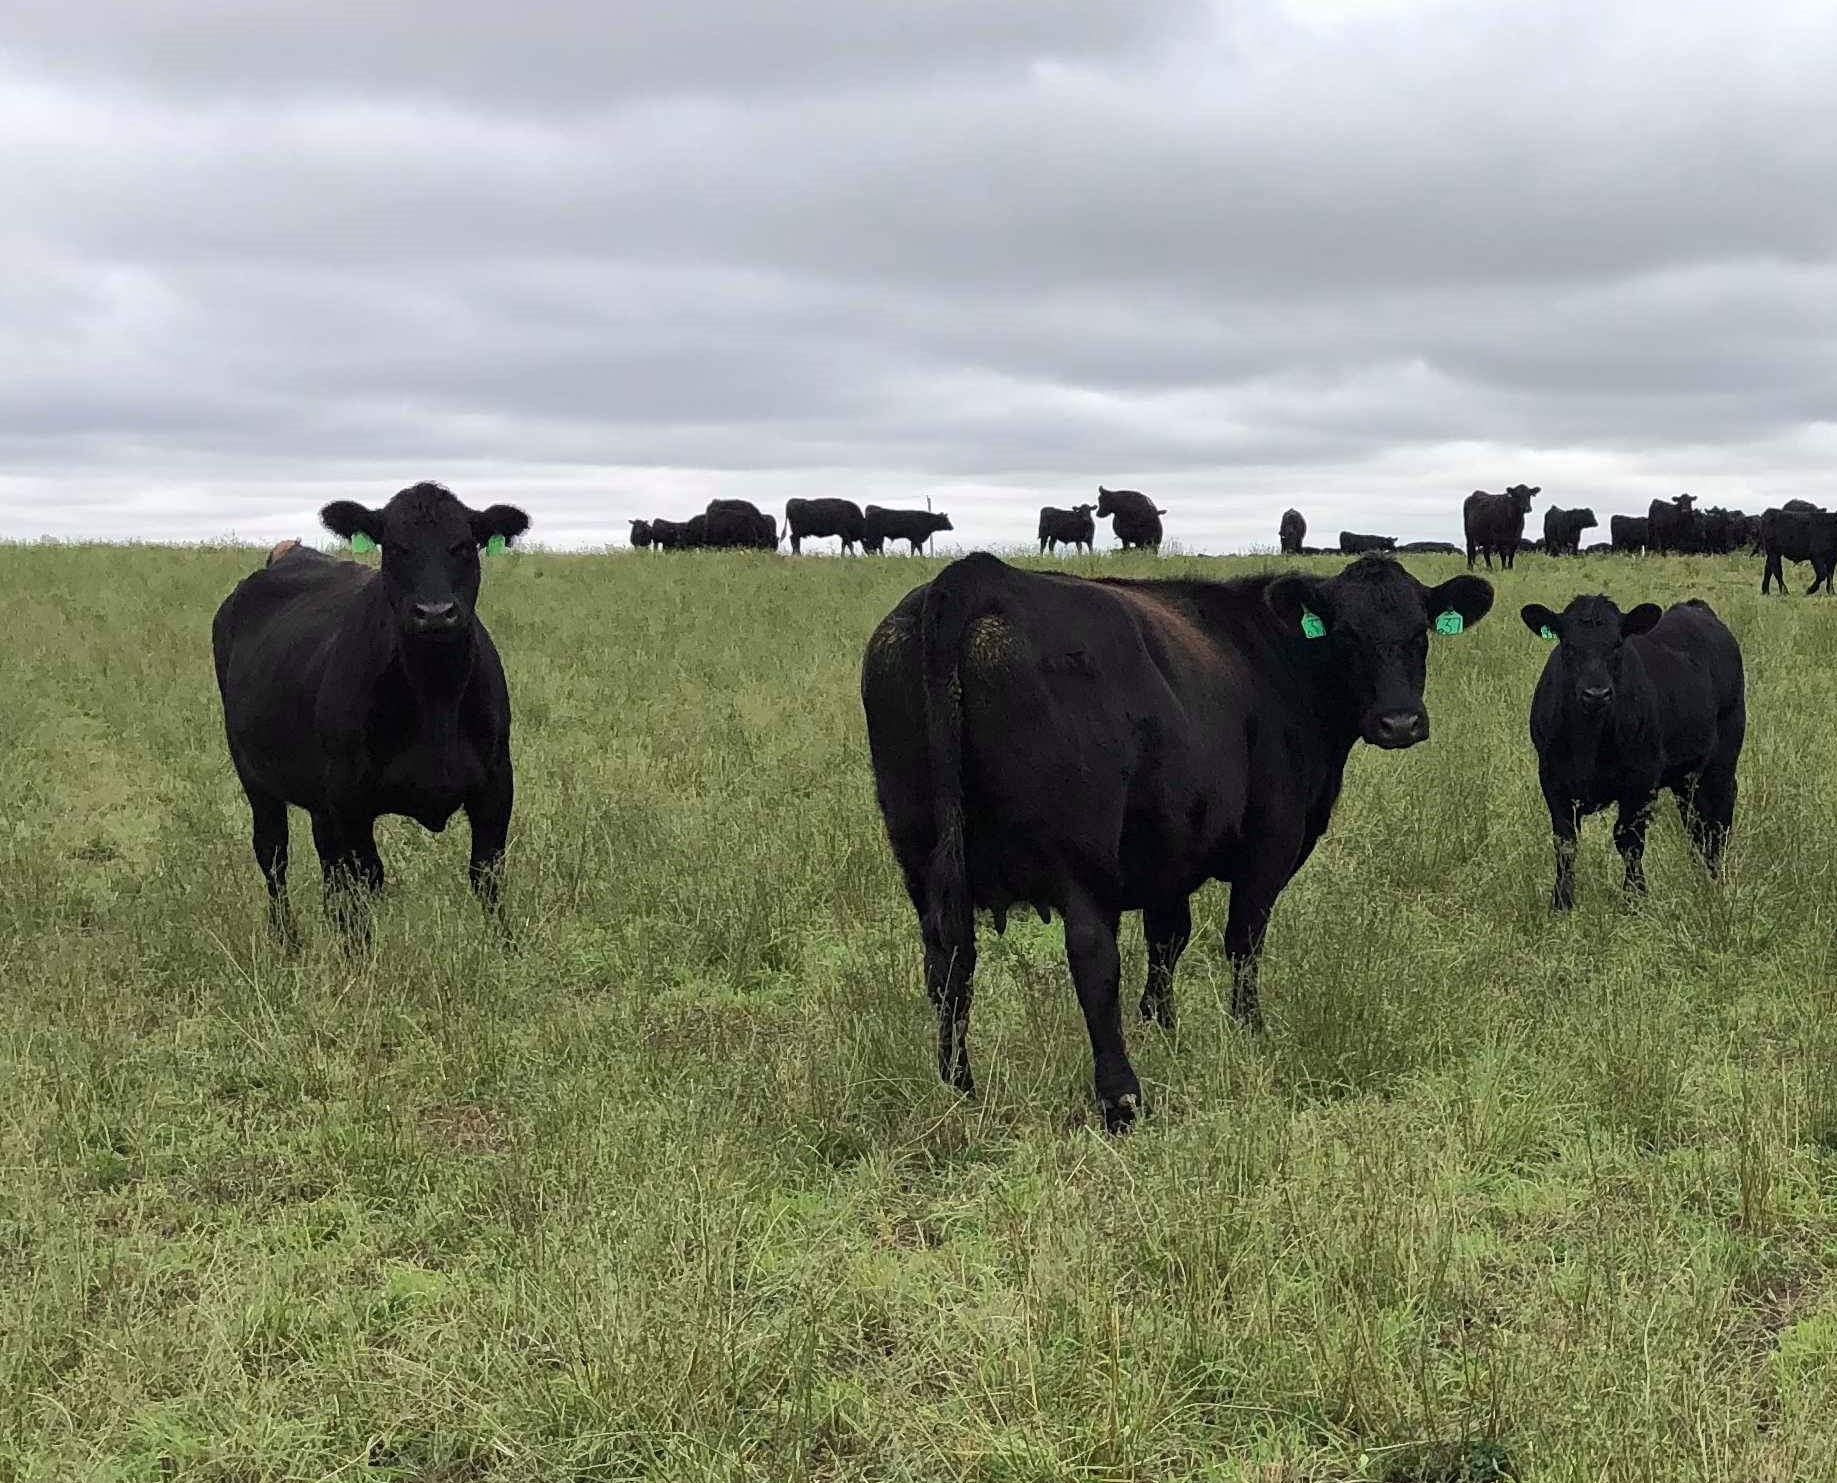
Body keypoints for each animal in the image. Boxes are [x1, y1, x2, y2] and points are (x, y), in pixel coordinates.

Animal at [216, 485, 532, 940]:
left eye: (462, 545)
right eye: (396, 547)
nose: (434, 612)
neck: (436, 696)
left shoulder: (496, 784)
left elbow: (486, 873)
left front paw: (505, 947)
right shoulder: (350, 800)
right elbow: (364, 881)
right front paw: (361, 954)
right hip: (256, 777)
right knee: (274, 855)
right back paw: (287, 941)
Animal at [859, 551, 1491, 1132]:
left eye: (1419, 634)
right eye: (1346, 635)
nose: (1400, 722)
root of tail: (976, 575)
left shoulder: (1168, 852)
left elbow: (1168, 941)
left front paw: (1163, 1028)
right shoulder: (1271, 841)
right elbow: (1242, 942)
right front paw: (1248, 1031)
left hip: (919, 850)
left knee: (948, 962)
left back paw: (957, 1086)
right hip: (1080, 857)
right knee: (1092, 960)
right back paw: (1121, 1099)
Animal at [1521, 599, 1748, 911]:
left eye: (1617, 645)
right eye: (1568, 645)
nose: (1596, 693)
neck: (1588, 741)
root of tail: (1694, 608)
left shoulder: (1641, 781)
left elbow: (1629, 840)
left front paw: (1634, 899)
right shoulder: (1552, 779)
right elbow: (1565, 842)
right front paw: (1561, 903)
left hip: (1723, 759)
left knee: (1718, 818)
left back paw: (1714, 878)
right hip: (1686, 776)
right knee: (1694, 822)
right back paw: (1698, 875)